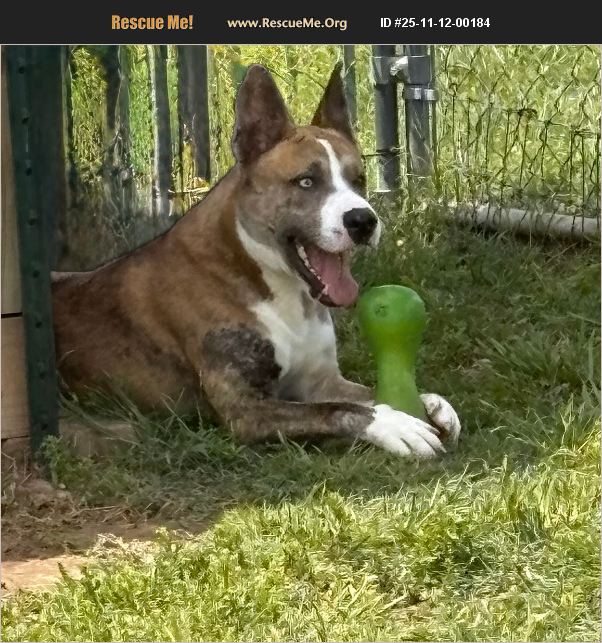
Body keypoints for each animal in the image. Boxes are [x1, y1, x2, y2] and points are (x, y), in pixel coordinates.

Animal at [52, 64, 461, 458]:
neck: (272, 283)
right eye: (306, 182)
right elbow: (341, 410)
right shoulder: (246, 410)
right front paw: (394, 424)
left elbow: (366, 394)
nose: (363, 220)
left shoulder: (320, 380)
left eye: (359, 179)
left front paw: (429, 402)